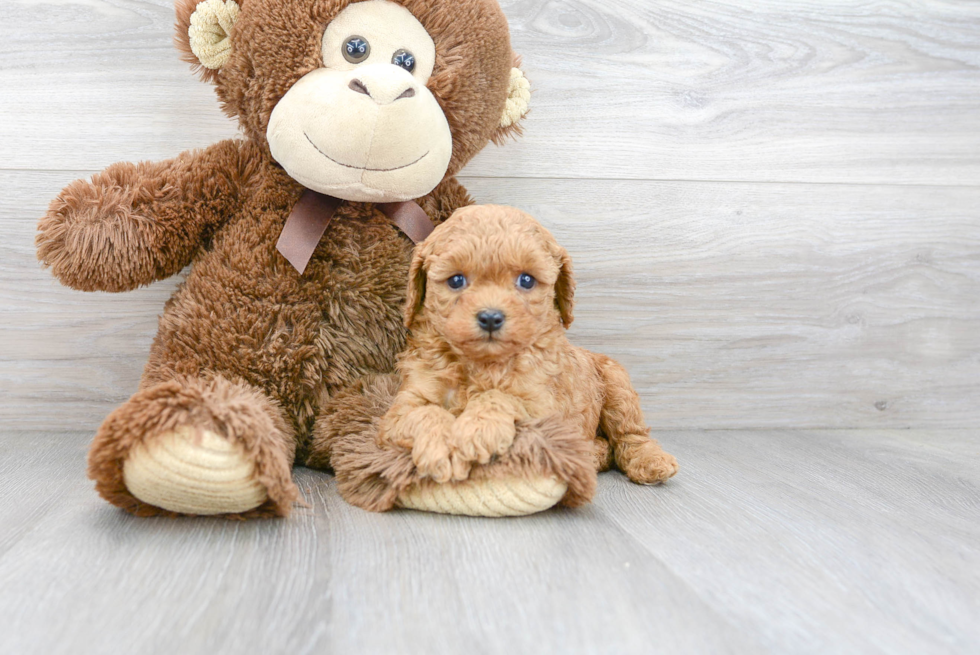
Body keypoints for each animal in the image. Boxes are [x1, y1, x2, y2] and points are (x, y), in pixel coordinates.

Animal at [378, 205, 680, 486]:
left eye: (526, 280)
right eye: (456, 280)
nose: (490, 317)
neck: (482, 363)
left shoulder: (543, 406)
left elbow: (502, 397)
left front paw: (475, 430)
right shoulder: (404, 406)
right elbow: (422, 412)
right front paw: (439, 449)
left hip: (617, 382)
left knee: (630, 434)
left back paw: (650, 461)